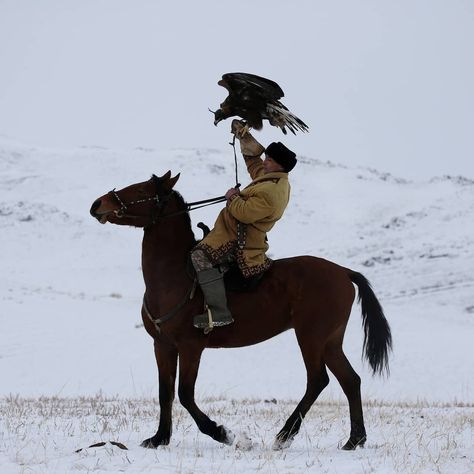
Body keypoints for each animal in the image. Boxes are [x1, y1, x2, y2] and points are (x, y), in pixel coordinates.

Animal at [90, 171, 392, 452]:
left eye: (141, 189)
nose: (98, 204)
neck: (175, 277)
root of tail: (343, 272)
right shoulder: (162, 345)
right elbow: (165, 393)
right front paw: (159, 438)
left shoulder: (190, 346)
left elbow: (185, 394)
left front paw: (222, 433)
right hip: (330, 341)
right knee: (350, 380)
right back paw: (354, 439)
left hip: (311, 337)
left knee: (318, 380)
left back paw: (285, 435)